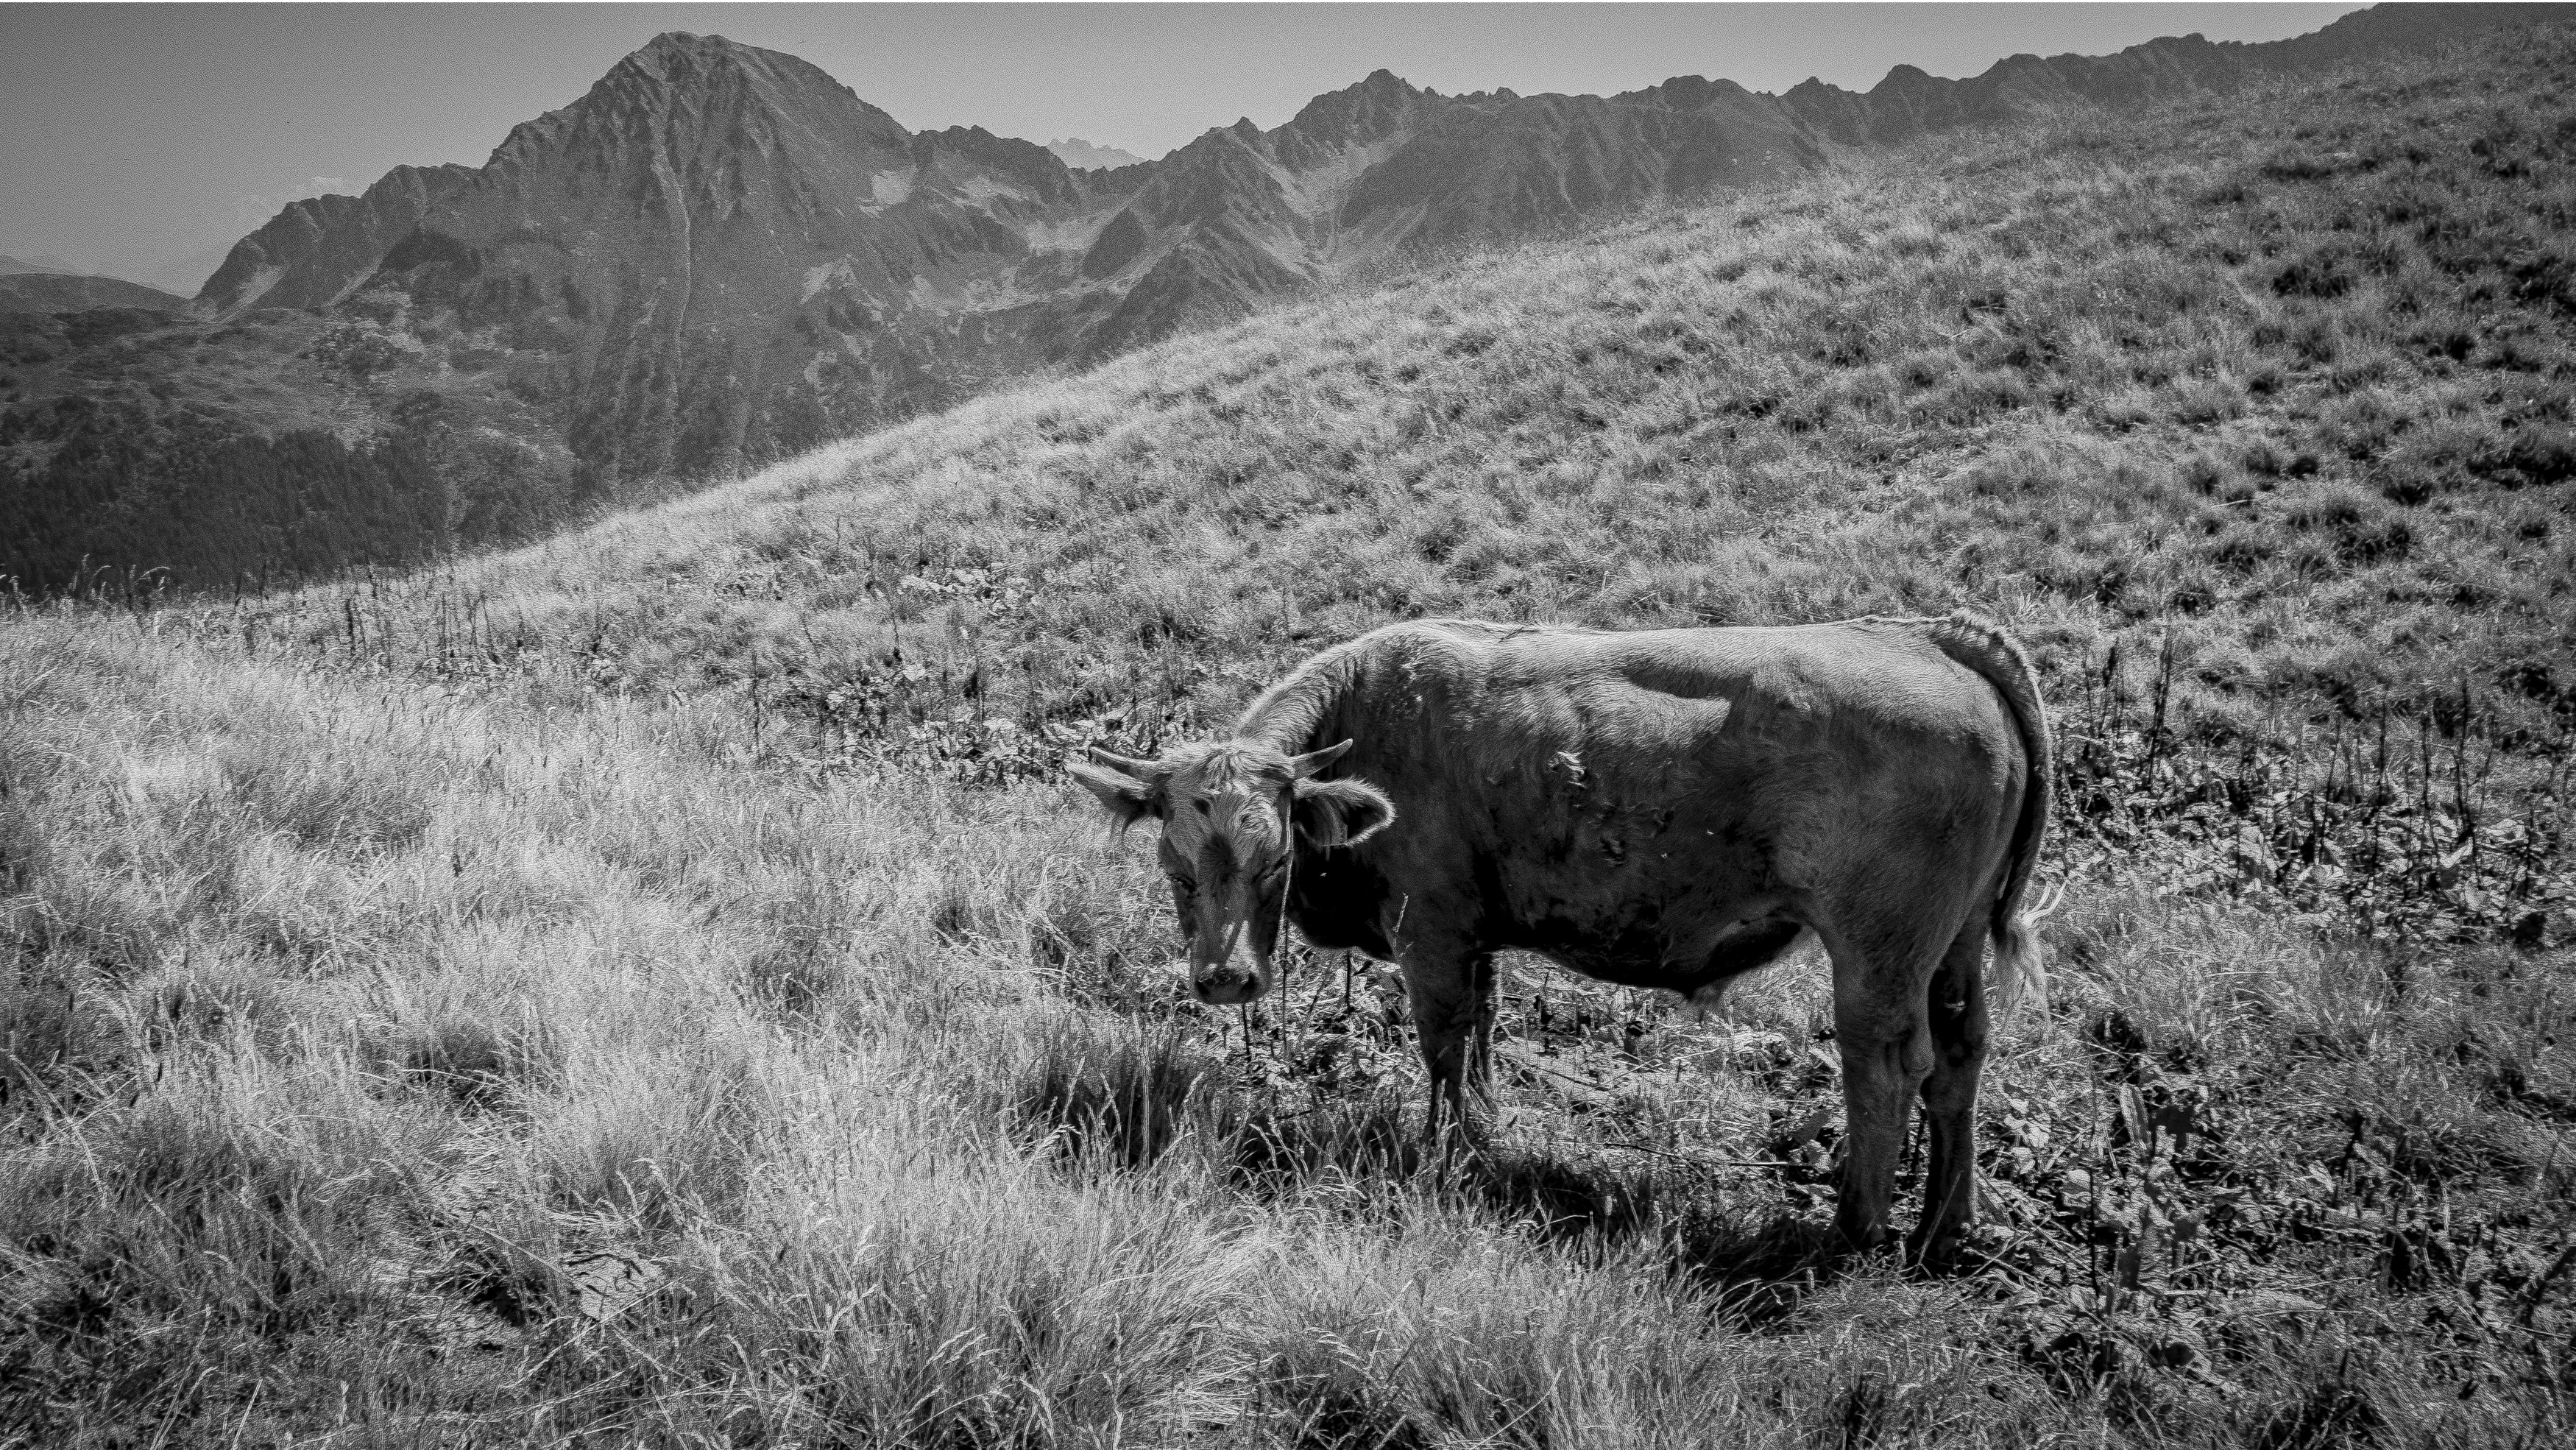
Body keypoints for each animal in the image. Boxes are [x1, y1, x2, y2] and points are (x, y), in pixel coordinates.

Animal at [1068, 611, 2052, 1263]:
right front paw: (1486, 1130)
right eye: (1174, 863)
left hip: (1876, 954)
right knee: (1961, 1053)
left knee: (1883, 1067)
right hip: (1954, 945)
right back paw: (1944, 1225)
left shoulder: (1432, 934)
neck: (1375, 713)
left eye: (1274, 860)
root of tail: (1932, 637)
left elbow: (1442, 1043)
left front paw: (1446, 1151)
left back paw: (1850, 1231)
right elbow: (1483, 1034)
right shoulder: (1477, 941)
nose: (1223, 978)